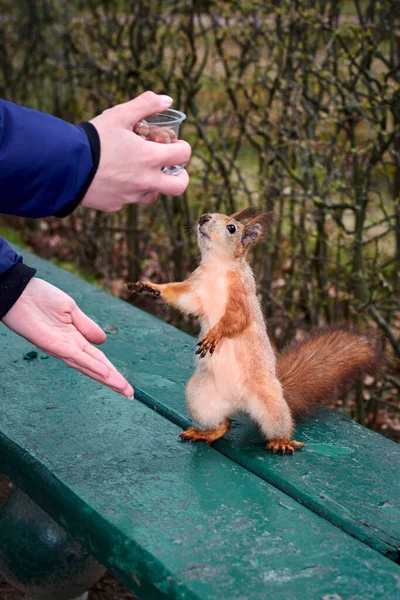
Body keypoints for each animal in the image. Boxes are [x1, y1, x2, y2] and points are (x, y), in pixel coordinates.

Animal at [127, 209, 382, 452]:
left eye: (231, 228)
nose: (203, 218)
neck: (217, 268)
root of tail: (239, 403)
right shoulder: (195, 290)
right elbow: (181, 297)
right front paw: (150, 287)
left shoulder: (242, 298)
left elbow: (235, 320)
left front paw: (215, 334)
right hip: (199, 396)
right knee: (225, 424)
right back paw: (206, 433)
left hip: (269, 403)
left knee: (278, 424)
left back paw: (281, 442)